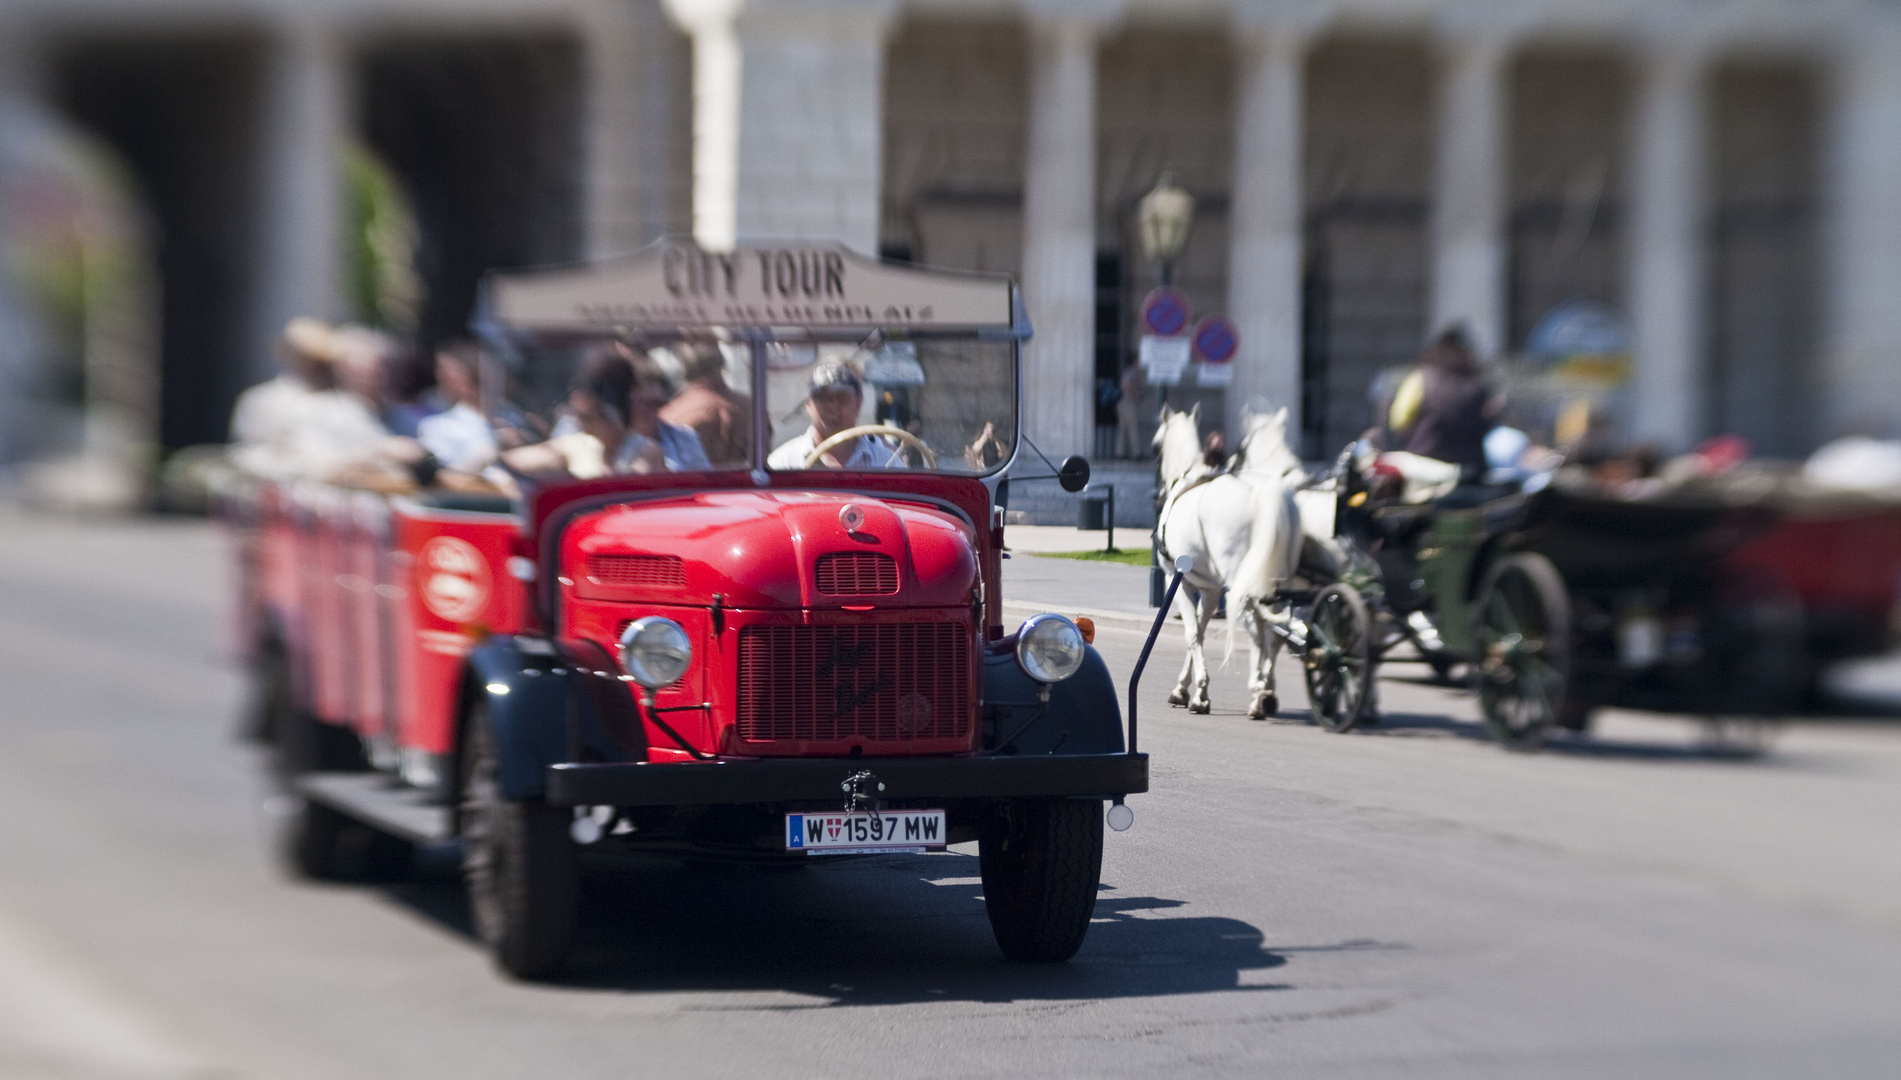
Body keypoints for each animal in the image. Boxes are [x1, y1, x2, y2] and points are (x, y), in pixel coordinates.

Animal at [1140, 405, 1307, 718]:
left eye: (1156, 449)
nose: (1157, 496)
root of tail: (1266, 492)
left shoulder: (1177, 582)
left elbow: (1192, 633)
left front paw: (1198, 692)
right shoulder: (1210, 589)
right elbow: (1201, 631)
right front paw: (1186, 687)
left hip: (1240, 580)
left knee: (1257, 626)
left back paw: (1259, 692)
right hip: (1278, 579)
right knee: (1275, 630)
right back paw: (1266, 690)